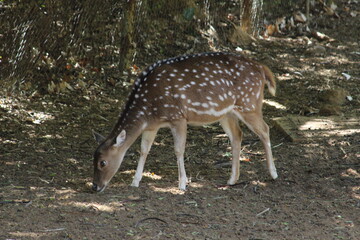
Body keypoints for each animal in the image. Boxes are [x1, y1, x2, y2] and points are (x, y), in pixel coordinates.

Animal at [93, 51, 278, 192]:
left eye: (103, 162)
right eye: (92, 159)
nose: (95, 187)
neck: (148, 109)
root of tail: (262, 68)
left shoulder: (178, 117)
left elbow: (178, 150)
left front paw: (182, 184)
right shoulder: (152, 126)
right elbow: (144, 150)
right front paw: (135, 181)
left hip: (249, 105)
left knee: (265, 129)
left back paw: (273, 173)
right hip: (227, 113)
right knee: (237, 135)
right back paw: (232, 179)